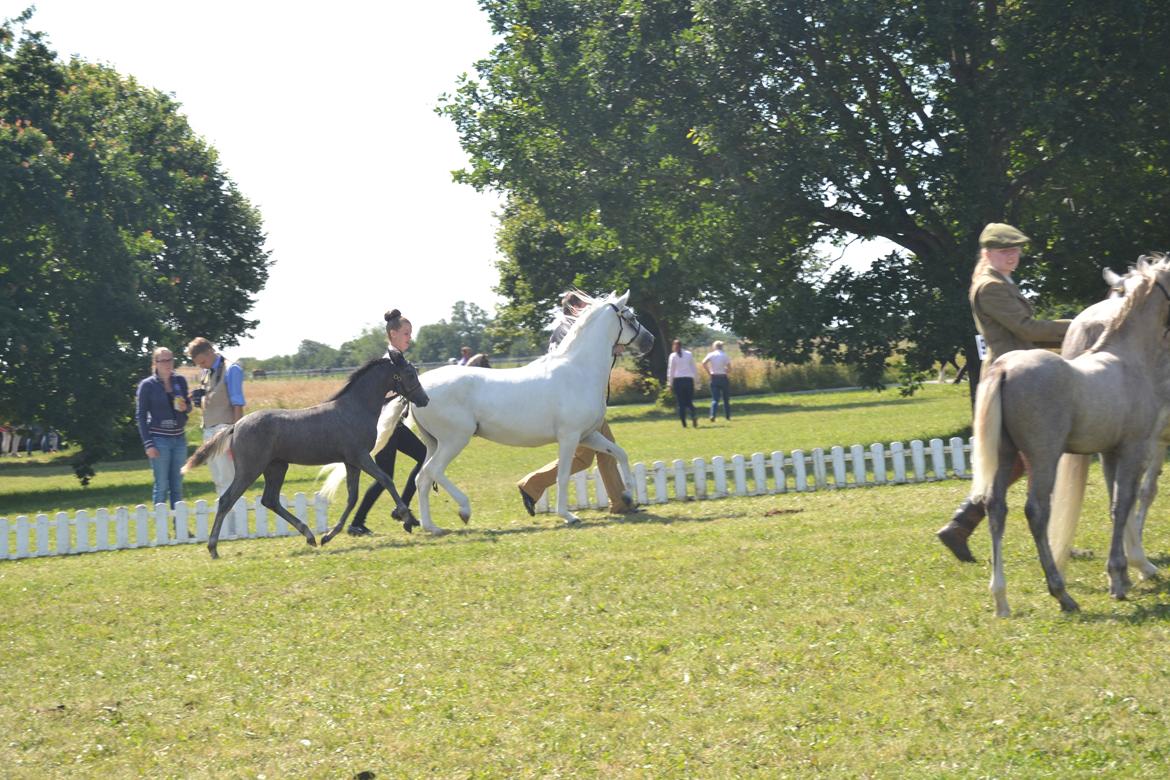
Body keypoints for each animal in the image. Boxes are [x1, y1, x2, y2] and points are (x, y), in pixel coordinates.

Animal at [186, 353, 430, 561]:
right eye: (410, 373)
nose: (424, 399)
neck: (356, 408)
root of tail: (235, 426)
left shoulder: (351, 462)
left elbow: (352, 497)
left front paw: (328, 536)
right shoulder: (360, 457)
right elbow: (386, 480)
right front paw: (406, 518)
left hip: (276, 467)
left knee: (270, 500)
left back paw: (310, 536)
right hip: (250, 469)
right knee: (227, 500)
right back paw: (213, 548)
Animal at [318, 292, 659, 537]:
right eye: (630, 316)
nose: (651, 341)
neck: (577, 371)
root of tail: (417, 391)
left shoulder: (588, 434)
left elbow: (620, 453)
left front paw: (629, 495)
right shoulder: (570, 437)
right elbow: (563, 474)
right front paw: (568, 515)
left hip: (434, 443)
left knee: (423, 477)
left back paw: (431, 526)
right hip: (455, 439)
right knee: (431, 473)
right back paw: (462, 511)